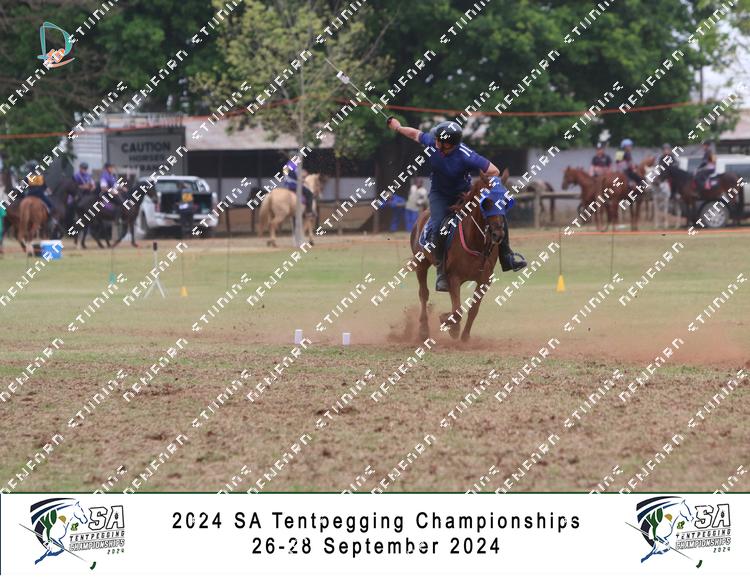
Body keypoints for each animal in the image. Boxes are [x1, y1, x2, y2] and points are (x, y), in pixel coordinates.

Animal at [411, 171, 508, 342]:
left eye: (505, 200)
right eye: (486, 202)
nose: (498, 234)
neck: (475, 241)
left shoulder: (484, 281)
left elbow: (473, 309)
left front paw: (465, 336)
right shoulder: (453, 278)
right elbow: (457, 311)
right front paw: (449, 324)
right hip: (421, 263)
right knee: (423, 294)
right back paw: (423, 330)